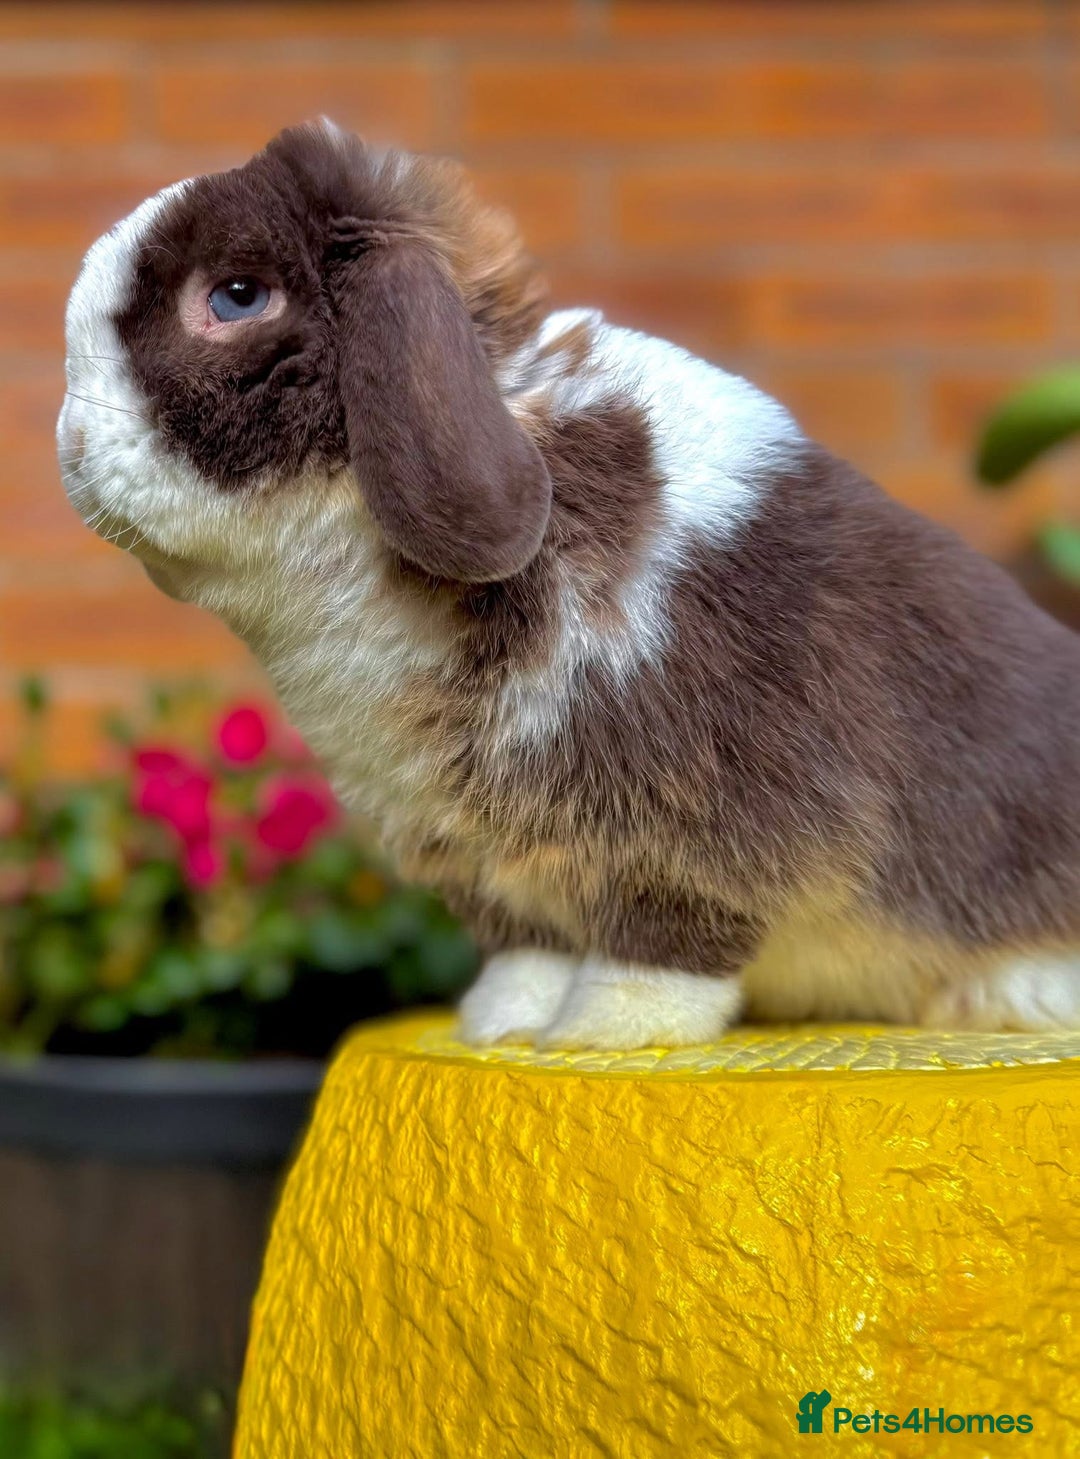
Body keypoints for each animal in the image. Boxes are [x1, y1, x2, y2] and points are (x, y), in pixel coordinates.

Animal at [58, 120, 1080, 1050]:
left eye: (236, 296)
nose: (69, 448)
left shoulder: (705, 814)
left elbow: (667, 940)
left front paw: (601, 1028)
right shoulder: (476, 849)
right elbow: (528, 947)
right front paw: (500, 1021)